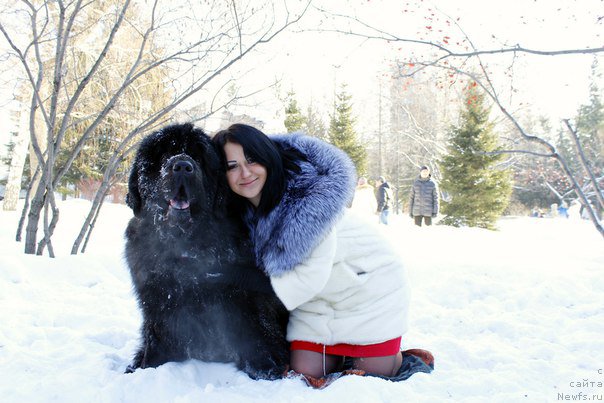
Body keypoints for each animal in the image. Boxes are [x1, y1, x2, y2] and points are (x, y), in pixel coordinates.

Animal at [124, 124, 290, 380]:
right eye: (164, 154)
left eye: (198, 157)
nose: (183, 166)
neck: (184, 244)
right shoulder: (156, 299)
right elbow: (156, 334)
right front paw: (148, 367)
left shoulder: (242, 295)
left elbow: (254, 330)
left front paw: (265, 367)